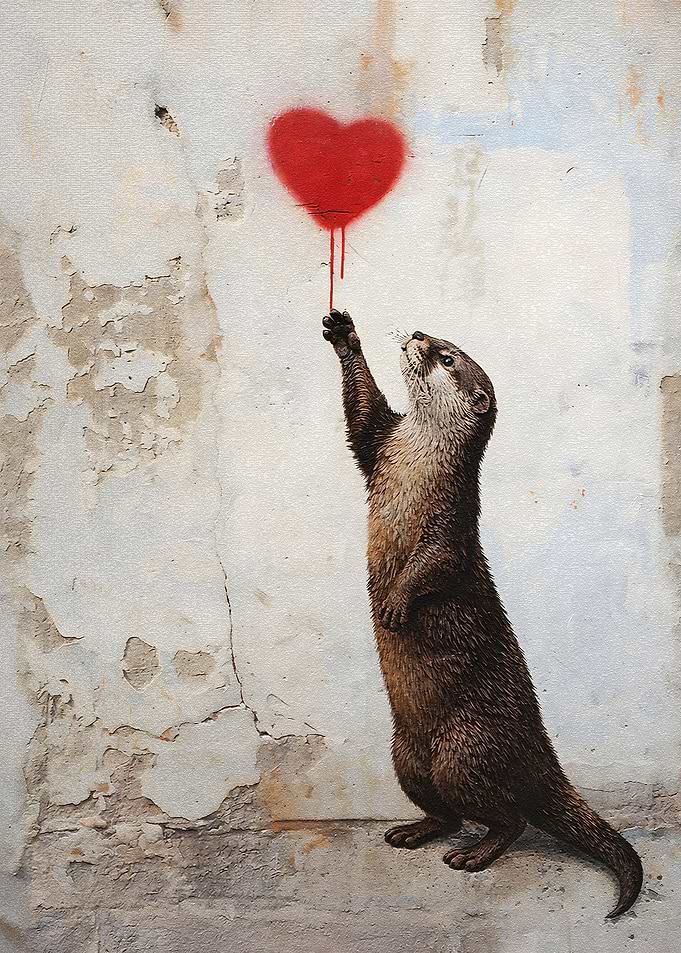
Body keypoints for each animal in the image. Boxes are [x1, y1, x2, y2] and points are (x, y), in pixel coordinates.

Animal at [322, 309, 642, 919]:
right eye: (435, 340)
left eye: (447, 356)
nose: (418, 334)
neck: (417, 459)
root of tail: (536, 756)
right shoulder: (382, 444)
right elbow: (363, 414)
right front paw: (343, 332)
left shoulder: (452, 522)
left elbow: (436, 565)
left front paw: (395, 605)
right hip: (408, 755)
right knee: (445, 809)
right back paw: (414, 831)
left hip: (465, 752)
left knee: (509, 817)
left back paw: (474, 854)